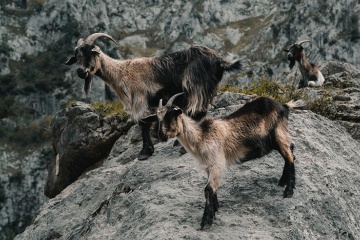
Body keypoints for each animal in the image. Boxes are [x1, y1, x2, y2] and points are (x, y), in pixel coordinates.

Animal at [66, 31, 243, 159]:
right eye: (77, 57)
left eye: (90, 53)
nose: (81, 72)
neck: (121, 72)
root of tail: (219, 60)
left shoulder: (139, 98)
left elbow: (142, 123)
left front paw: (144, 152)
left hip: (196, 85)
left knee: (197, 111)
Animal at [142, 91, 306, 229]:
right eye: (157, 118)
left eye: (171, 115)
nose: (161, 136)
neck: (201, 137)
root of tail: (283, 106)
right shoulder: (209, 166)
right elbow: (212, 189)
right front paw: (215, 208)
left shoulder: (217, 164)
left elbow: (208, 189)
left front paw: (206, 221)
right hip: (275, 139)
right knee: (290, 151)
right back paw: (283, 180)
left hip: (278, 133)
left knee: (289, 155)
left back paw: (288, 191)